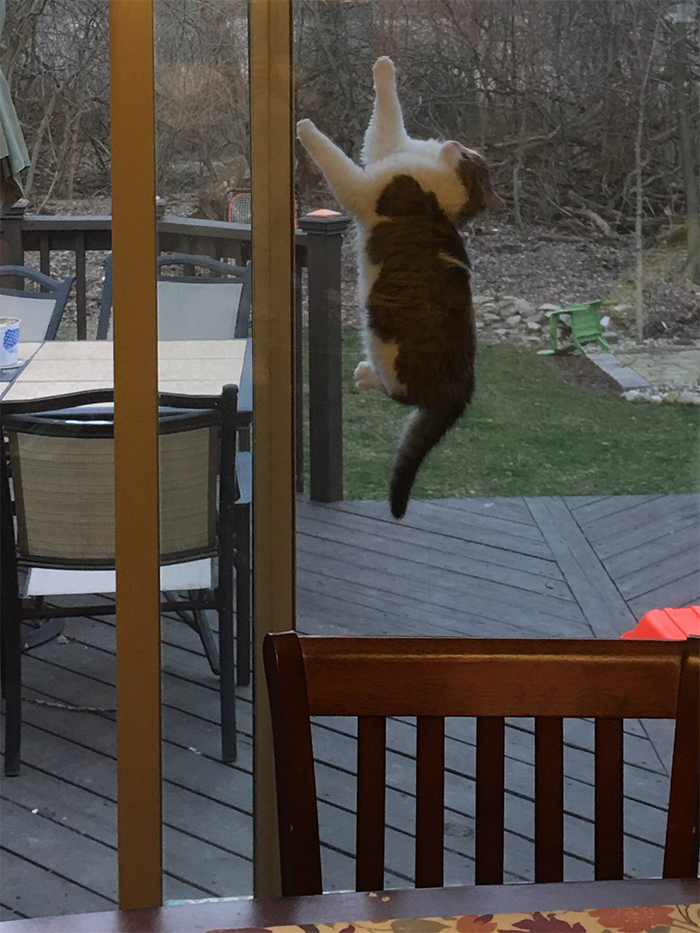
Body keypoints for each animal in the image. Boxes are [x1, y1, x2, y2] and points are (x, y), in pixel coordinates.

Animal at [296, 56, 504, 516]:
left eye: (468, 158)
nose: (455, 142)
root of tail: (465, 389)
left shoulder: (365, 189)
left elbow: (336, 157)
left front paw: (304, 126)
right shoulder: (386, 147)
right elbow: (387, 118)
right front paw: (384, 67)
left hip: (388, 346)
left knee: (400, 394)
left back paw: (364, 377)